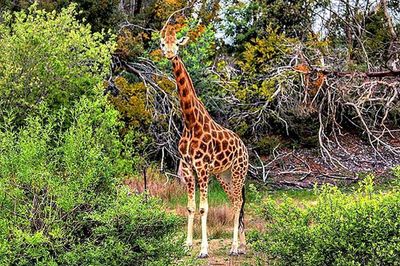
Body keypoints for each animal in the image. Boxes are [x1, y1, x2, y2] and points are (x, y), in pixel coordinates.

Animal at [160, 24, 248, 258]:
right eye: (163, 43)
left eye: (177, 43)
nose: (170, 54)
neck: (191, 123)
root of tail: (244, 147)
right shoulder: (188, 167)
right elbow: (191, 206)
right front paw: (187, 245)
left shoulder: (202, 167)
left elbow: (203, 208)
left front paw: (203, 250)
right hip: (223, 175)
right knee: (236, 201)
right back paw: (242, 245)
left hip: (238, 170)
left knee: (238, 202)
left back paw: (234, 247)